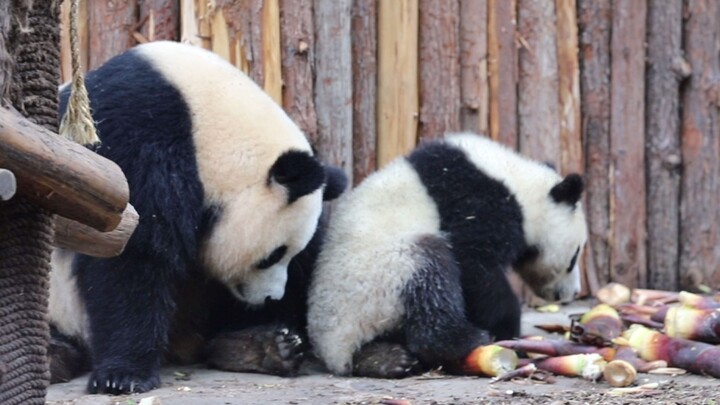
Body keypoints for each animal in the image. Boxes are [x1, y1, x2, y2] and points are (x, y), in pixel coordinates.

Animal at [47, 41, 346, 394]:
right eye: (273, 255)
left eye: (290, 256)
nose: (272, 297)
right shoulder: (137, 139)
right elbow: (131, 253)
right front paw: (124, 375)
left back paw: (263, 348)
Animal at [306, 131, 588, 378]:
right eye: (574, 258)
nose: (569, 294)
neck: (517, 182)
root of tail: (335, 354)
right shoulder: (478, 203)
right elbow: (474, 263)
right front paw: (506, 328)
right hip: (379, 279)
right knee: (431, 276)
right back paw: (461, 340)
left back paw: (384, 359)